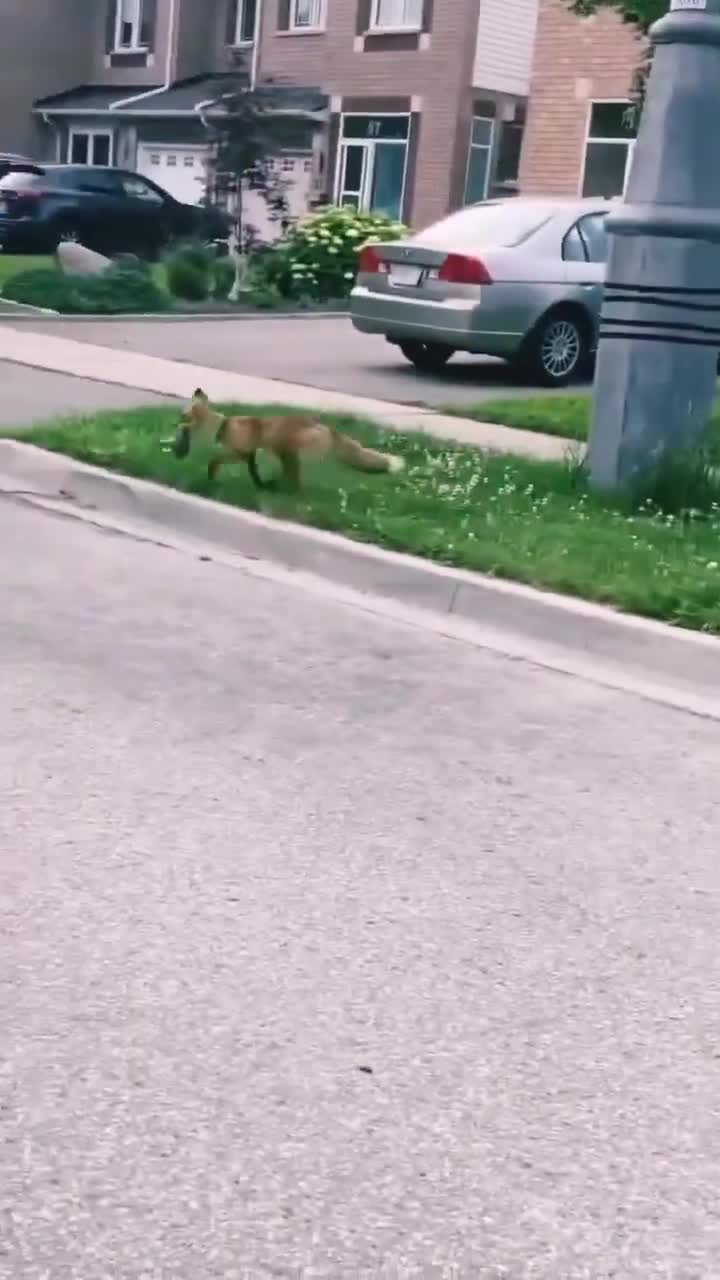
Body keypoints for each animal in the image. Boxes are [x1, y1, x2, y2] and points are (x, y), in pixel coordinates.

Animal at [171, 388, 405, 491]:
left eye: (182, 416)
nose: (175, 425)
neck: (224, 426)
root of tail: (328, 428)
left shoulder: (239, 452)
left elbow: (215, 461)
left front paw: (211, 475)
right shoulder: (249, 455)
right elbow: (253, 472)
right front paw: (261, 485)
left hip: (287, 450)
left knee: (295, 480)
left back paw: (286, 490)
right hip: (286, 454)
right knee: (294, 478)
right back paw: (282, 487)